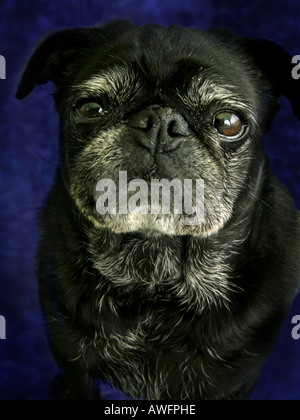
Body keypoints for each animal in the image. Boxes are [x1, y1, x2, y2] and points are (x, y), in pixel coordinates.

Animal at [15, 20, 300, 400]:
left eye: (228, 121)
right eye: (91, 108)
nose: (159, 124)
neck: (153, 273)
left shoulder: (237, 382)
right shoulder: (77, 371)